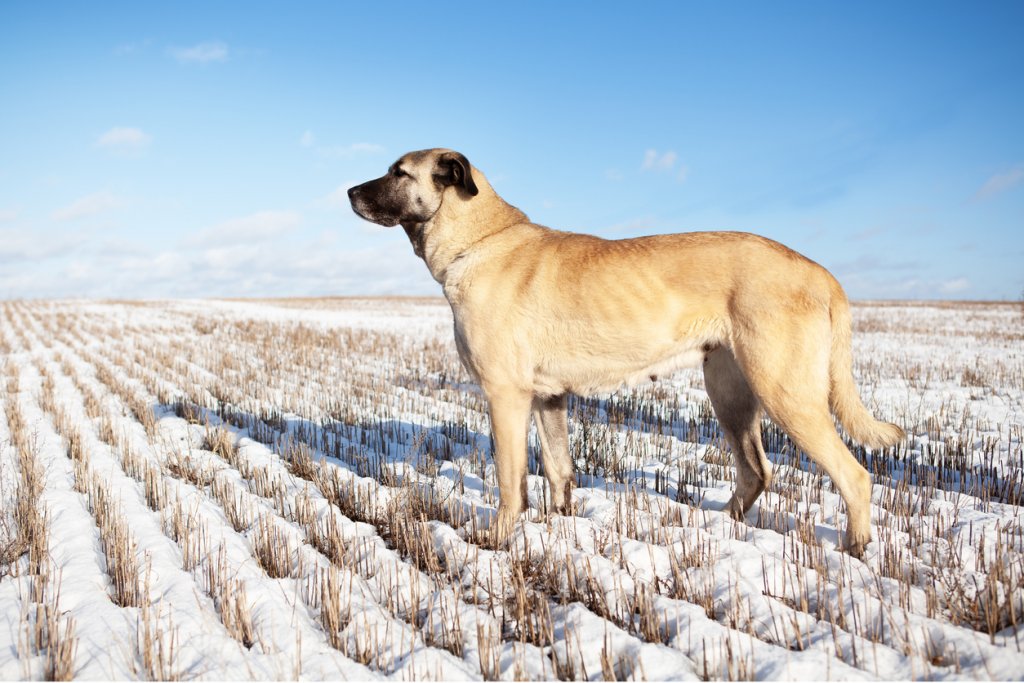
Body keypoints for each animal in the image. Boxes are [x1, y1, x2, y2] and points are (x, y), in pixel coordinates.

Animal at [350, 148, 905, 557]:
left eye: (398, 172)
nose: (350, 191)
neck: (480, 238)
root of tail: (822, 272)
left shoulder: (506, 396)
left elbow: (511, 482)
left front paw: (496, 541)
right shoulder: (547, 398)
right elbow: (559, 471)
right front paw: (564, 530)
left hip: (785, 392)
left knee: (854, 474)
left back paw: (854, 551)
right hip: (730, 392)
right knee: (756, 471)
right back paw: (719, 529)